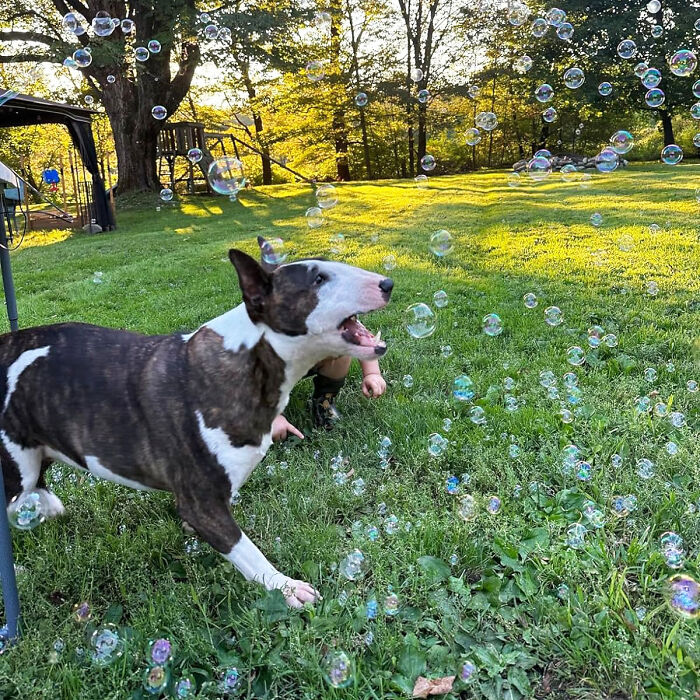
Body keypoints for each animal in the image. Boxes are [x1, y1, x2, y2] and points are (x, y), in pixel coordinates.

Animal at [0, 247, 394, 608]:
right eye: (318, 280)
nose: (388, 283)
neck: (252, 357)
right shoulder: (201, 502)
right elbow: (245, 548)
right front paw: (285, 587)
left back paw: (48, 509)